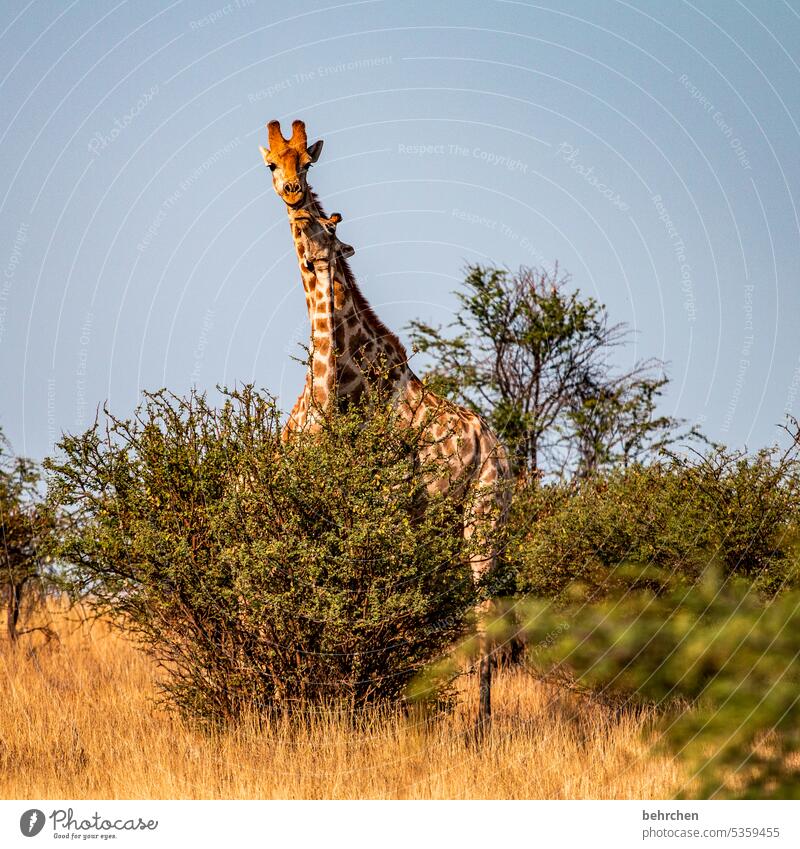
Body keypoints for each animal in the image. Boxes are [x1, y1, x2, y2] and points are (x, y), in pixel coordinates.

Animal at [262, 119, 512, 724]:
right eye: (272, 163)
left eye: (306, 162)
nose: (296, 200)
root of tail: (499, 448)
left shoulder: (383, 502)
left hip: (484, 514)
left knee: (484, 620)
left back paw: (481, 725)